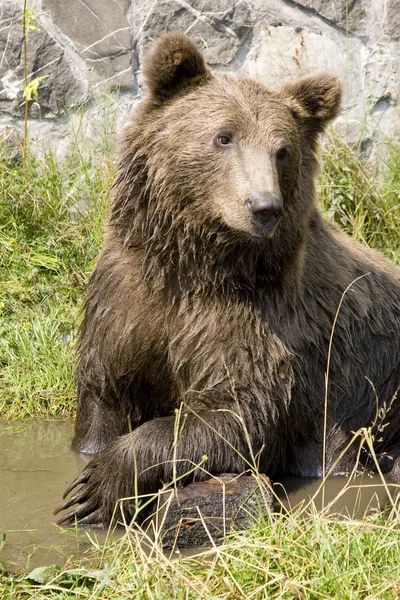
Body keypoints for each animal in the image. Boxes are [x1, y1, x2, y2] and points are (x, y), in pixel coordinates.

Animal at [55, 31, 400, 524]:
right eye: (223, 137)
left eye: (282, 150)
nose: (264, 207)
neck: (197, 262)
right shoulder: (128, 301)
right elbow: (105, 392)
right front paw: (86, 471)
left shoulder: (261, 323)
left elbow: (235, 413)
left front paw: (99, 483)